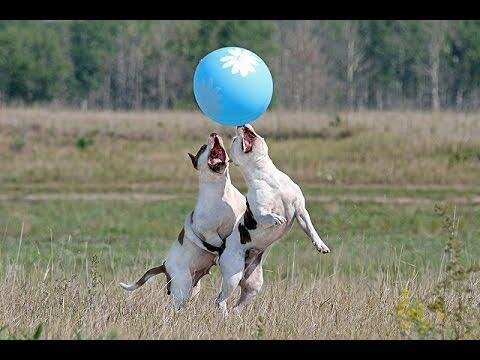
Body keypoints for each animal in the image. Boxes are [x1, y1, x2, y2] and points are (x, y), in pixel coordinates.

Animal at [119, 134, 246, 308]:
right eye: (203, 147)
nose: (214, 134)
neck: (221, 190)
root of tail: (165, 265)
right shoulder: (207, 232)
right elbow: (217, 242)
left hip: (193, 289)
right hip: (182, 289)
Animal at [215, 124, 330, 316]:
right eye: (235, 141)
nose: (240, 124)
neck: (266, 174)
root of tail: (222, 247)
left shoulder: (300, 210)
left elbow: (311, 229)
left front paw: (321, 245)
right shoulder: (260, 210)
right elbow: (265, 215)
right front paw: (276, 219)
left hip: (253, 285)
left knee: (238, 304)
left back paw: (236, 316)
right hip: (232, 276)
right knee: (220, 300)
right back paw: (223, 315)